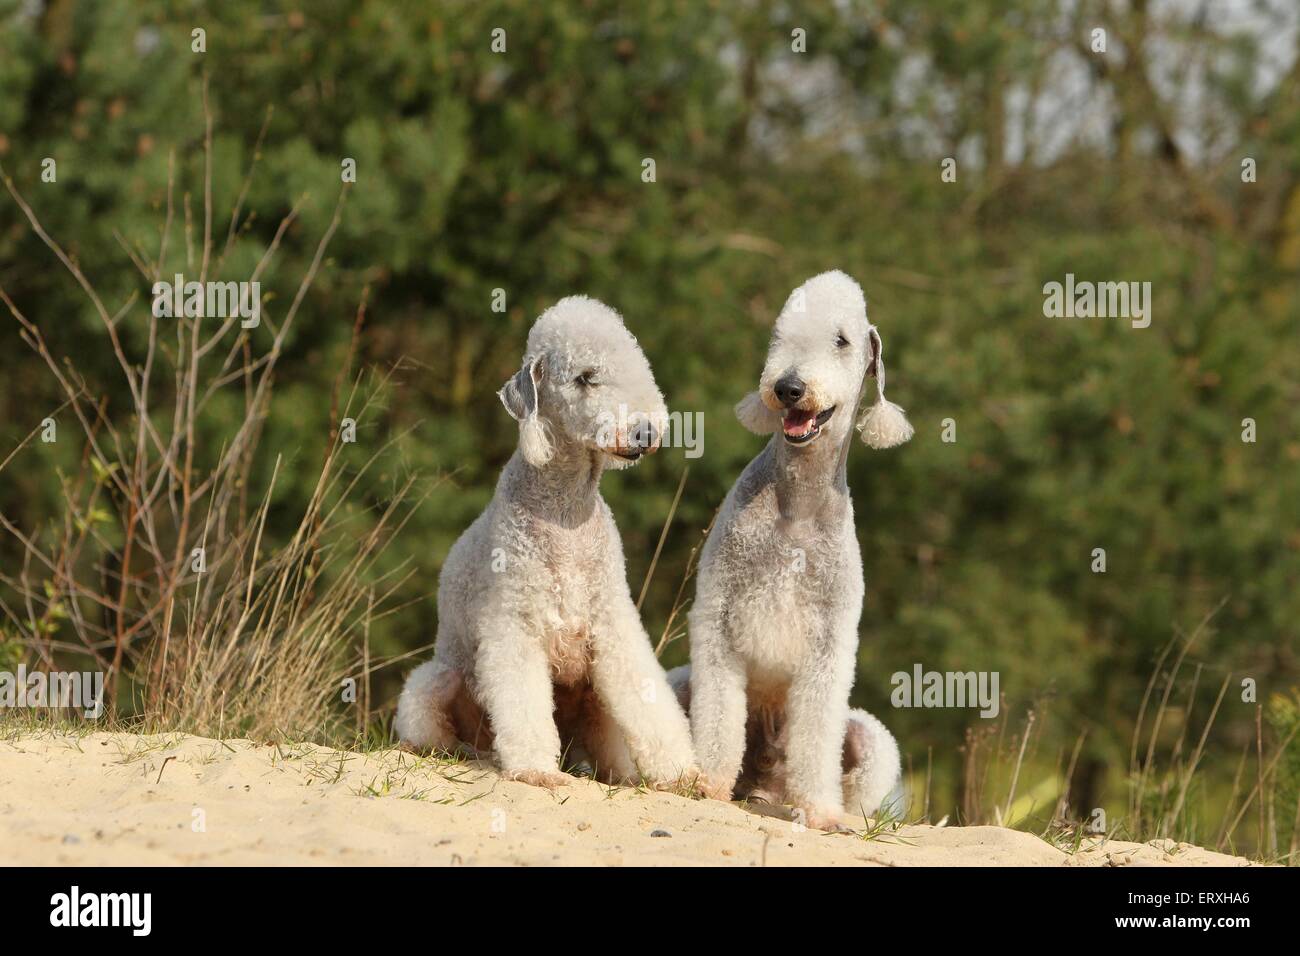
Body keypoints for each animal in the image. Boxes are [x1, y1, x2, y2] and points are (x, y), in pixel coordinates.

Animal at [392, 299, 696, 790]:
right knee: (433, 727)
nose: (645, 433)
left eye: (636, 364)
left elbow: (645, 695)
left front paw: (683, 774)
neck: (566, 511)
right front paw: (535, 769)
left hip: (594, 708)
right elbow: (523, 699)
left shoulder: (613, 620)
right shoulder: (514, 620)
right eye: (584, 377)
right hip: (436, 681)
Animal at [686, 270, 909, 832]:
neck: (797, 507)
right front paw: (707, 785)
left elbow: (817, 731)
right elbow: (717, 716)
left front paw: (822, 812)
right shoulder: (718, 616)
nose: (787, 388)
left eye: (842, 341)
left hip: (871, 740)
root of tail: (762, 788)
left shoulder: (830, 639)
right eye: (778, 336)